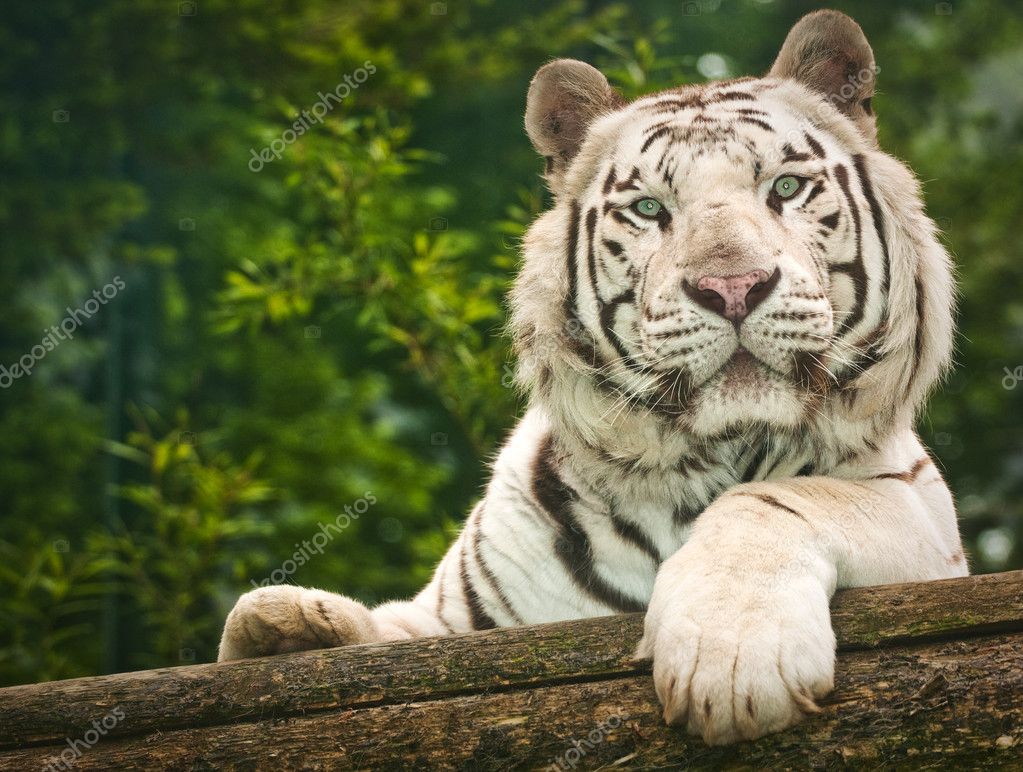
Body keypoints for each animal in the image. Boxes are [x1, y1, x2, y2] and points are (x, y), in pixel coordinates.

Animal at [218, 10, 966, 745]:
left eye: (785, 187)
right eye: (649, 209)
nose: (731, 288)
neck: (703, 464)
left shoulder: (924, 518)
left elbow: (789, 498)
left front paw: (729, 661)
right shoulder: (452, 620)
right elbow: (330, 626)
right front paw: (286, 628)